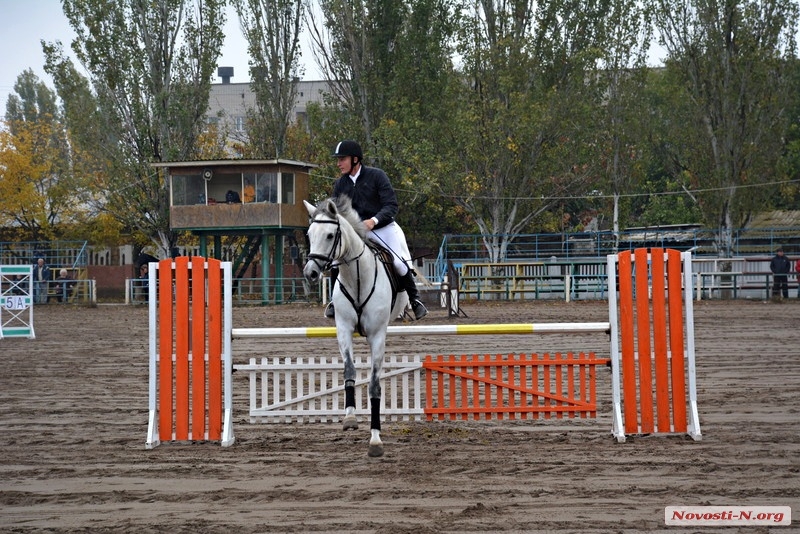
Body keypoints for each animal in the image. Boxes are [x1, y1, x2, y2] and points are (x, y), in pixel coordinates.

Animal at [302, 199, 406, 458]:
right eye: (309, 234)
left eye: (330, 235)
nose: (310, 273)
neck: (357, 277)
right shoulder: (343, 329)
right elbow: (349, 370)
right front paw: (349, 417)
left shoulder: (377, 336)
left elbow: (374, 385)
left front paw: (376, 440)